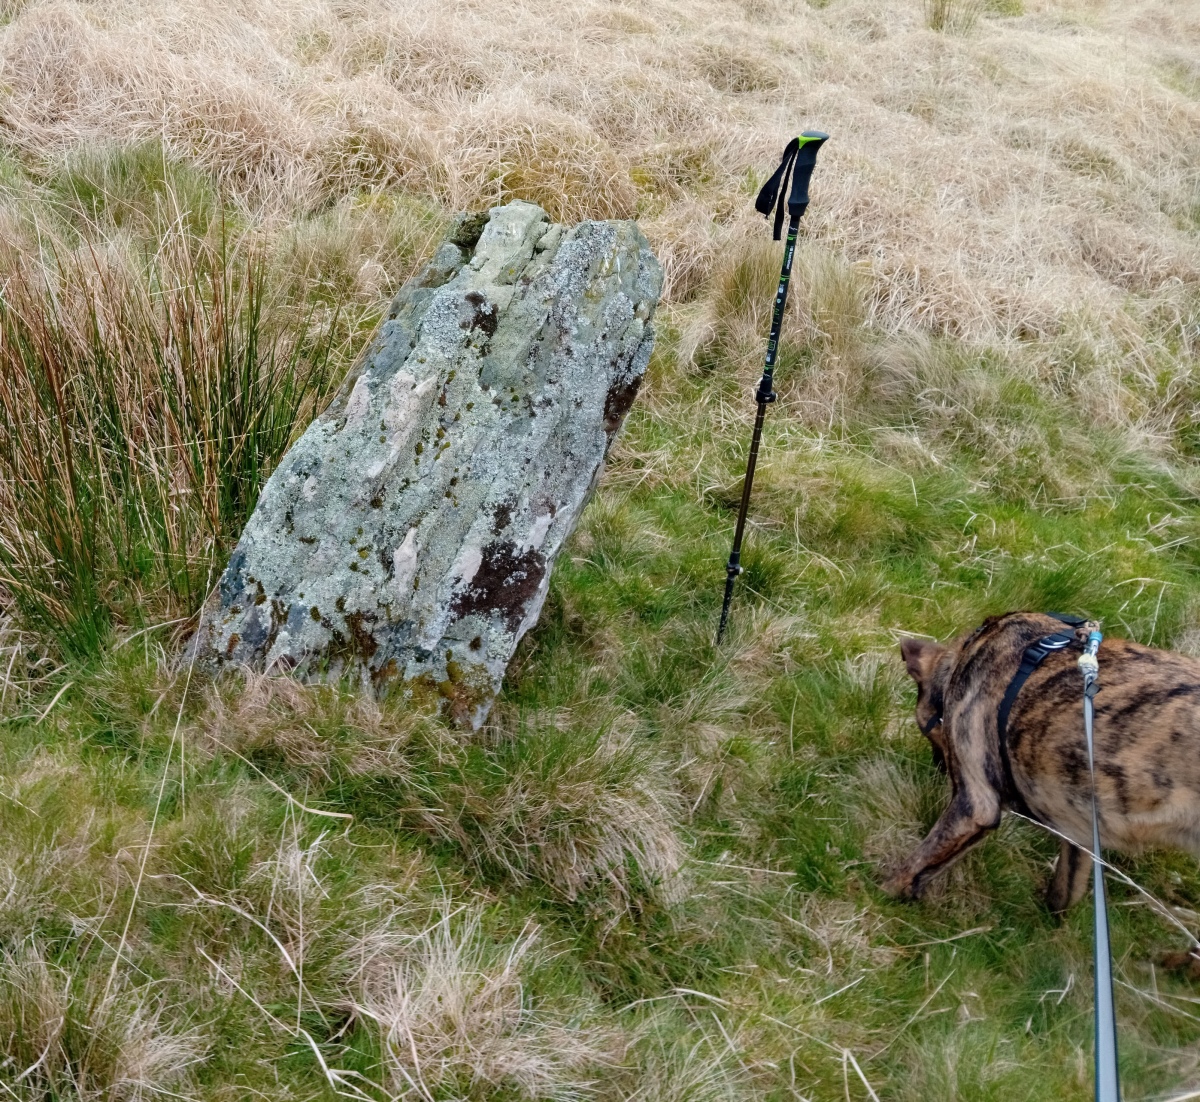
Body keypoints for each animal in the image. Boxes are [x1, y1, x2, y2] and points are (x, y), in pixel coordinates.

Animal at [883, 607, 1200, 926]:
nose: (938, 768)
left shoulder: (975, 806)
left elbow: (916, 863)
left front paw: (882, 893)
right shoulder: (1081, 829)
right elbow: (1065, 890)